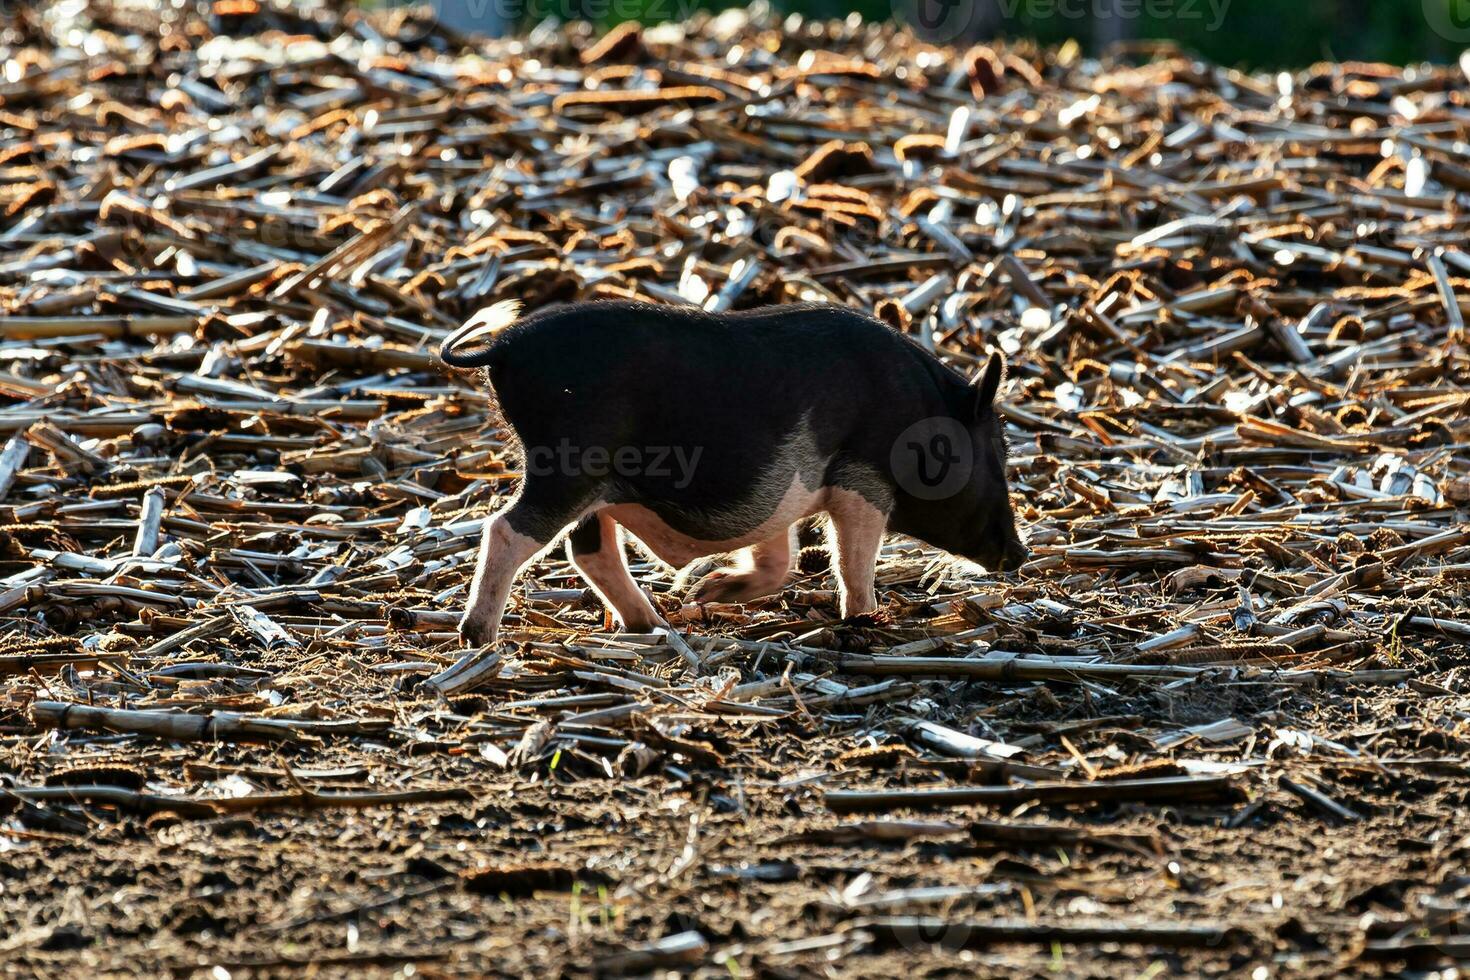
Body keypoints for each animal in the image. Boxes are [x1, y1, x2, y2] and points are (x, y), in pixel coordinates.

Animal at [441, 302, 1029, 646]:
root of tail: (504, 347)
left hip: (589, 482)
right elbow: (853, 557)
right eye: (996, 449)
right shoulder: (860, 483)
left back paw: (656, 623)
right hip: (568, 463)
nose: (1020, 556)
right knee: (507, 529)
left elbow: (779, 560)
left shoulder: (780, 492)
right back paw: (478, 636)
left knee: (587, 549)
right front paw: (867, 618)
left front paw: (707, 592)